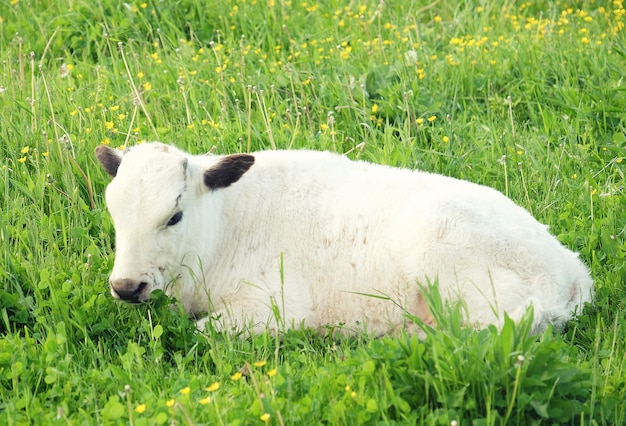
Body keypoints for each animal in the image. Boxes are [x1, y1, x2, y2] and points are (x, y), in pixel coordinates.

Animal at [95, 143, 592, 336]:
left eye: (174, 215)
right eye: (114, 212)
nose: (126, 286)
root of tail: (571, 271)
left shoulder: (274, 308)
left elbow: (201, 333)